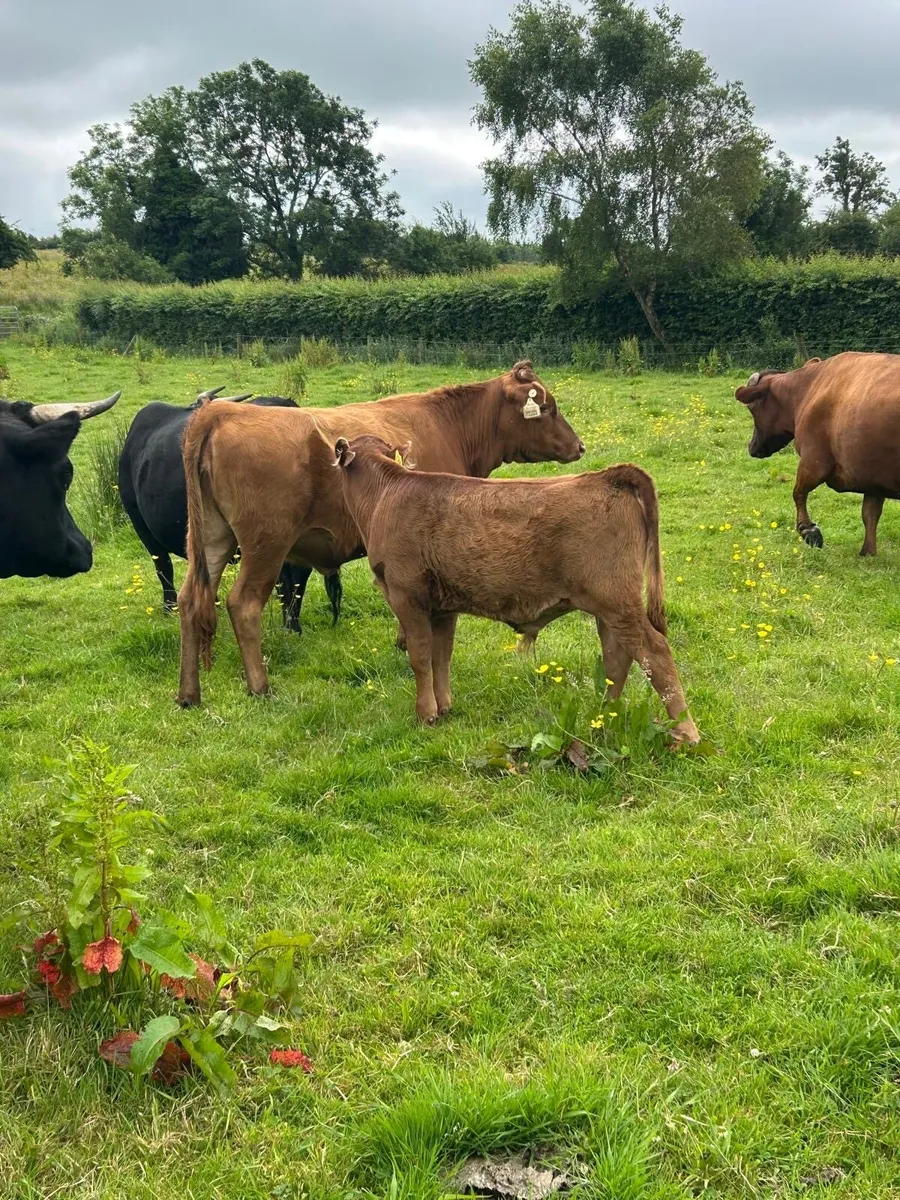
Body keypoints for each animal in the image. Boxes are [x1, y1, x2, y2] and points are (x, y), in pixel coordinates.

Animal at [176, 361, 585, 707]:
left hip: (212, 539)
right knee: (243, 604)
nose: (579, 446)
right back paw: (259, 686)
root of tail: (220, 412)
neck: (448, 426)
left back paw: (188, 694)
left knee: (190, 600)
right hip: (267, 543)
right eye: (548, 408)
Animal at [331, 434, 699, 742]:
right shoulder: (444, 607)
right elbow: (441, 656)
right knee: (617, 658)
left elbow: (420, 657)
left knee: (654, 652)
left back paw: (685, 732)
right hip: (609, 608)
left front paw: (426, 714)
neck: (386, 496)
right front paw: (445, 705)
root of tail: (608, 475)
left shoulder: (407, 597)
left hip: (615, 600)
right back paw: (604, 716)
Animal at [736, 352, 900, 555]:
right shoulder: (871, 472)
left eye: (752, 408)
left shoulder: (814, 459)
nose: (751, 447)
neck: (810, 387)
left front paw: (809, 531)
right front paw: (867, 552)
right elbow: (870, 513)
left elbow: (798, 492)